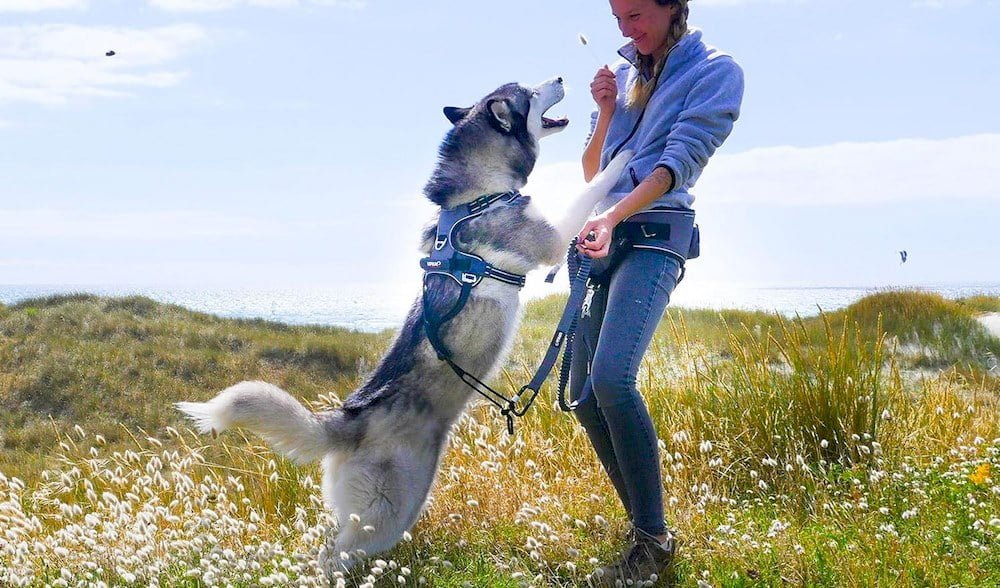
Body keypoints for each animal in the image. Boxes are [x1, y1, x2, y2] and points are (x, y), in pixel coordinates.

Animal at [176, 77, 628, 576]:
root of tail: (349, 419)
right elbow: (588, 190)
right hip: (391, 511)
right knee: (332, 557)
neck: (477, 195)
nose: (561, 79)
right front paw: (623, 158)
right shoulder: (548, 238)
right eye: (529, 91)